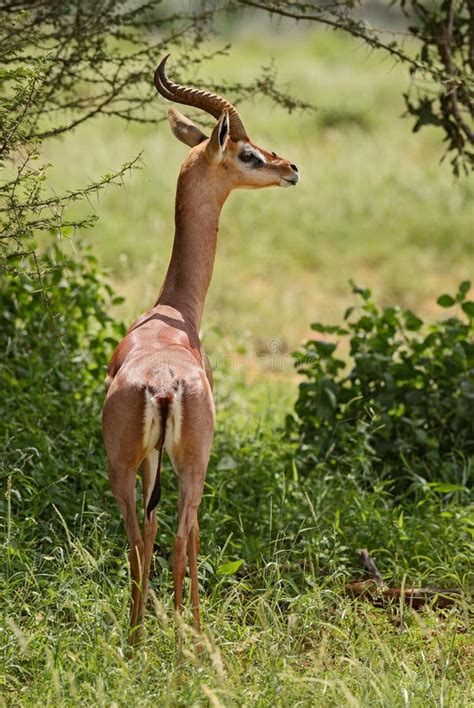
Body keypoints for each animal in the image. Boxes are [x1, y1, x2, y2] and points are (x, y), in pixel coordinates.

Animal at [102, 55, 300, 644]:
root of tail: (164, 386)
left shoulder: (149, 463)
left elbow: (149, 530)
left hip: (123, 466)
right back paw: (187, 633)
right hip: (193, 466)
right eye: (247, 151)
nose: (290, 167)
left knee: (139, 537)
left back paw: (137, 634)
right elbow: (188, 537)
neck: (173, 316)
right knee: (179, 535)